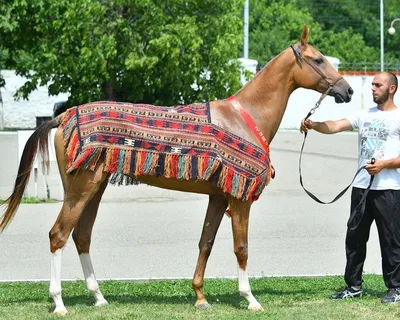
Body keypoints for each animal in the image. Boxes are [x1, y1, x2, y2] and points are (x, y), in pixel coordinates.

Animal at [0, 25, 354, 316]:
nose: (347, 90)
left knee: (81, 235)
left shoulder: (218, 198)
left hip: (94, 188)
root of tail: (63, 117)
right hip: (80, 189)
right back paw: (59, 302)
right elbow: (241, 248)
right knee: (59, 234)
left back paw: (98, 297)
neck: (243, 117)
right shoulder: (239, 199)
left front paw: (200, 296)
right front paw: (250, 298)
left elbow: (205, 243)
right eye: (319, 60)